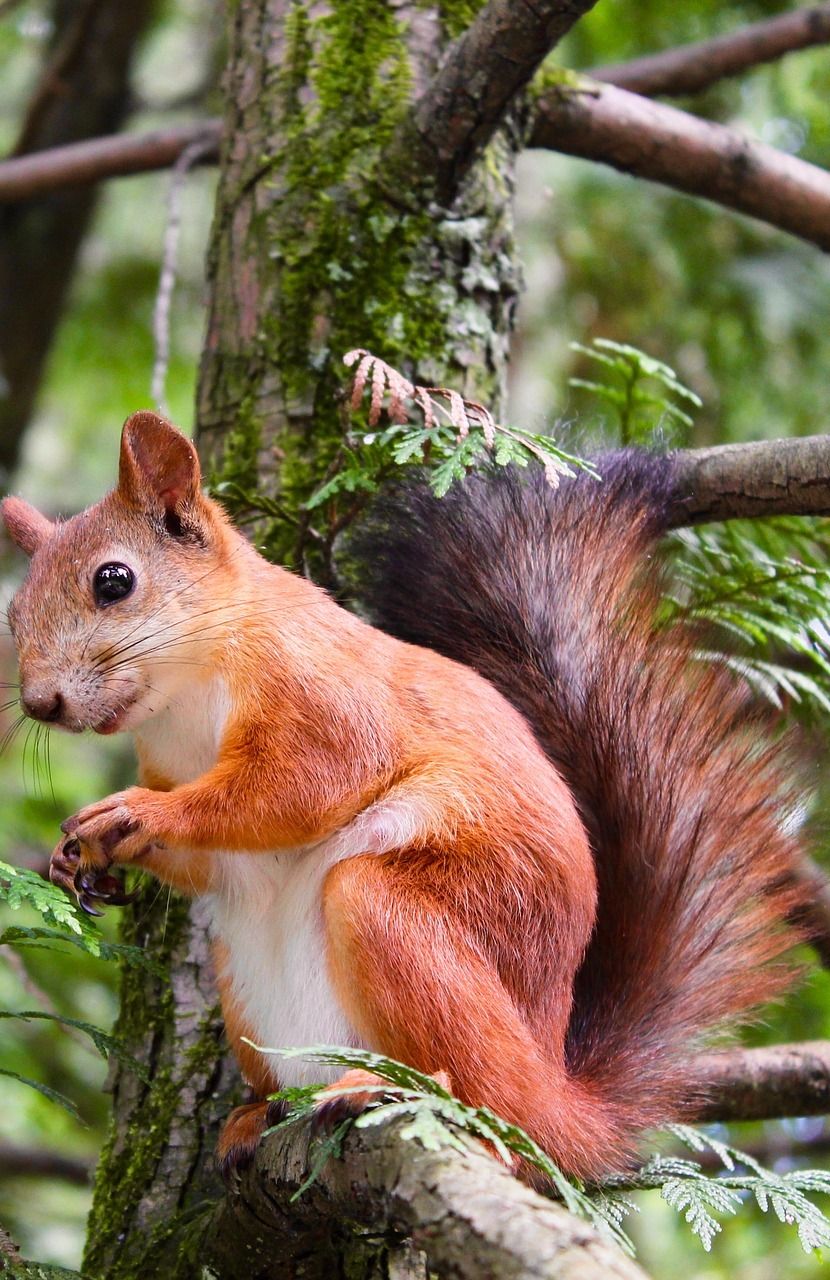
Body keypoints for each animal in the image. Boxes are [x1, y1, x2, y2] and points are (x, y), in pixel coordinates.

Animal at [1, 411, 807, 1183]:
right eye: (13, 614)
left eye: (114, 581)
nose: (40, 704)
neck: (187, 695)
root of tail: (559, 1097)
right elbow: (211, 859)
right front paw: (82, 860)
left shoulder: (323, 695)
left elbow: (296, 788)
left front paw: (138, 814)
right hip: (245, 987)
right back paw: (258, 1114)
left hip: (406, 918)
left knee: (490, 1106)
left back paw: (388, 1090)